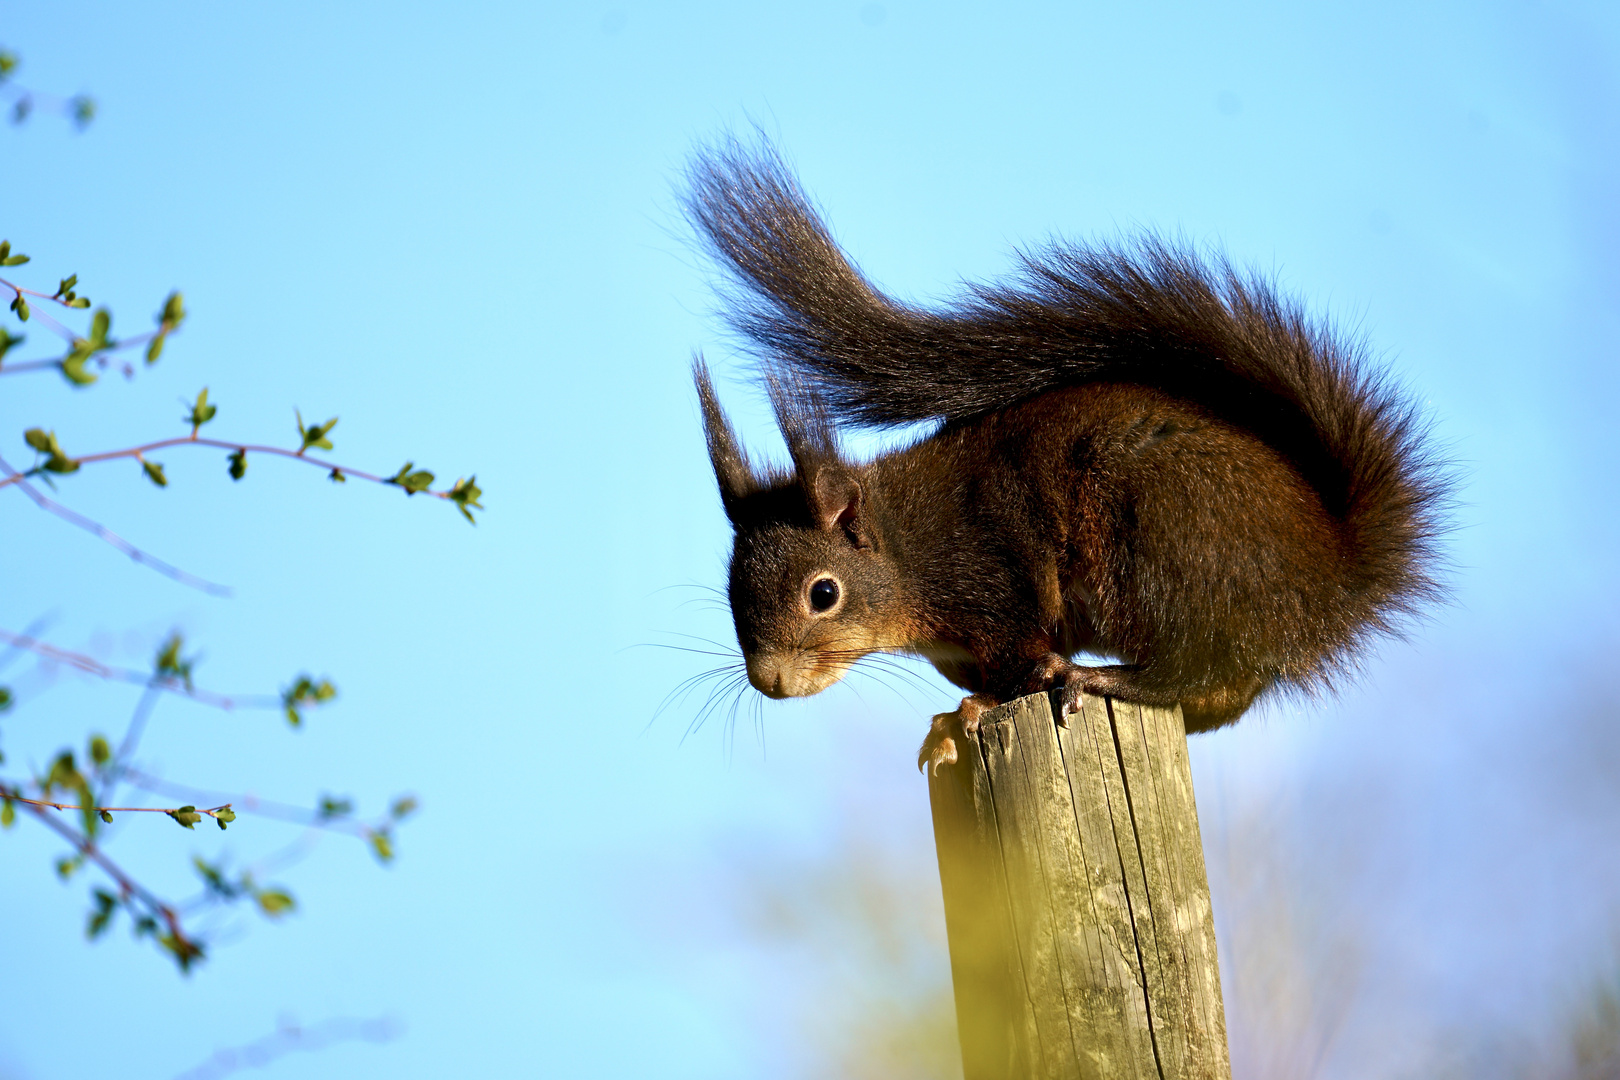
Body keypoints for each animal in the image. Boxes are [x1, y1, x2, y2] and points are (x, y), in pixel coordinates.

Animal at [680, 139, 1445, 773]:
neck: (903, 552)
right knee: (1227, 694)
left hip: (1158, 543)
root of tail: (1333, 578)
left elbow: (1018, 665)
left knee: (1203, 671)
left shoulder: (999, 583)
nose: (771, 682)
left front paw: (973, 713)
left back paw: (1106, 678)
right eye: (731, 591)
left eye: (824, 594)